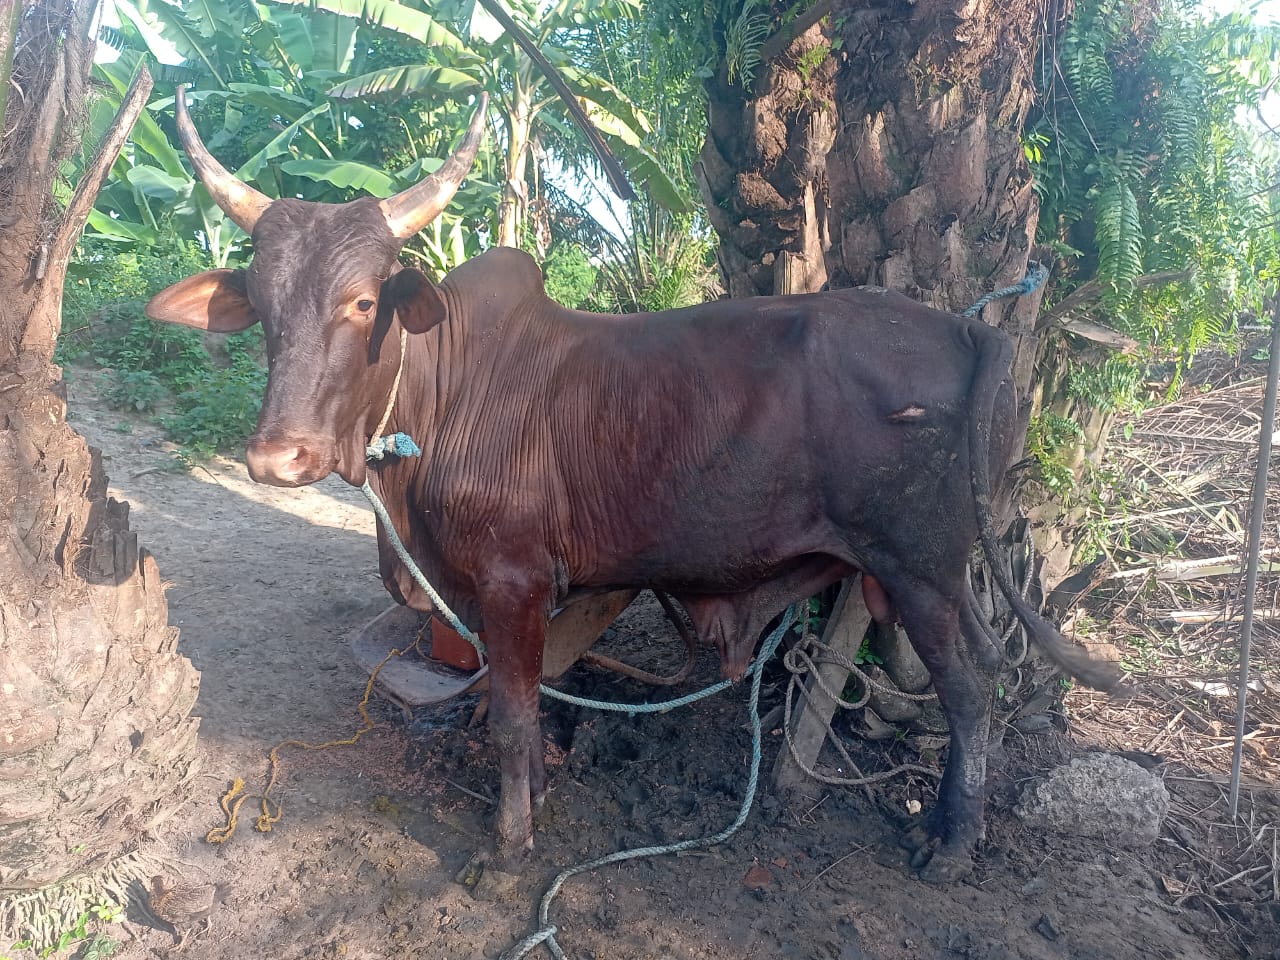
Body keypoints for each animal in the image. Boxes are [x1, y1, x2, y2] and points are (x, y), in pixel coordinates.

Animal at [147, 89, 1117, 884]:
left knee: (970, 682)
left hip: (923, 566)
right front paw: (538, 798)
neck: (435, 403)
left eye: (360, 302)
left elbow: (510, 714)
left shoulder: (511, 581)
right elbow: (529, 707)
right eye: (263, 306)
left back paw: (951, 844)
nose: (279, 460)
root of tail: (966, 328)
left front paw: (508, 847)